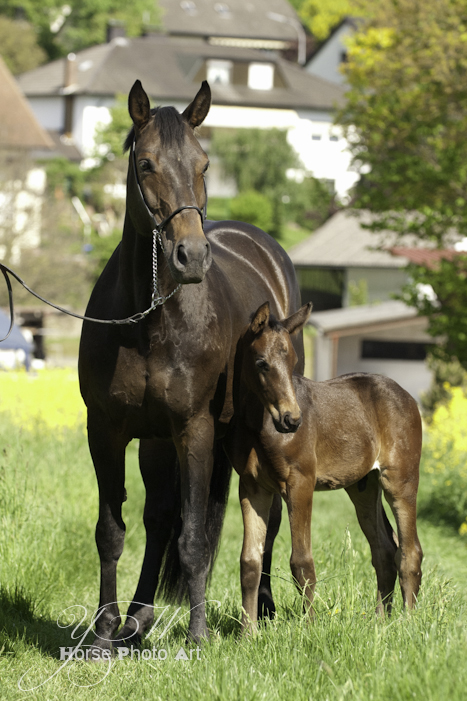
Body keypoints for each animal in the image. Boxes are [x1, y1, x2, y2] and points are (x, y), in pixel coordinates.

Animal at [226, 300, 424, 628]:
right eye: (261, 363)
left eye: (294, 361)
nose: (292, 420)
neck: (259, 426)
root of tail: (406, 396)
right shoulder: (252, 488)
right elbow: (250, 561)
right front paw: (248, 633)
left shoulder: (300, 483)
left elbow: (301, 561)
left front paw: (309, 628)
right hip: (363, 487)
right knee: (385, 550)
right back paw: (380, 621)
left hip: (400, 481)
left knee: (410, 551)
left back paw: (406, 622)